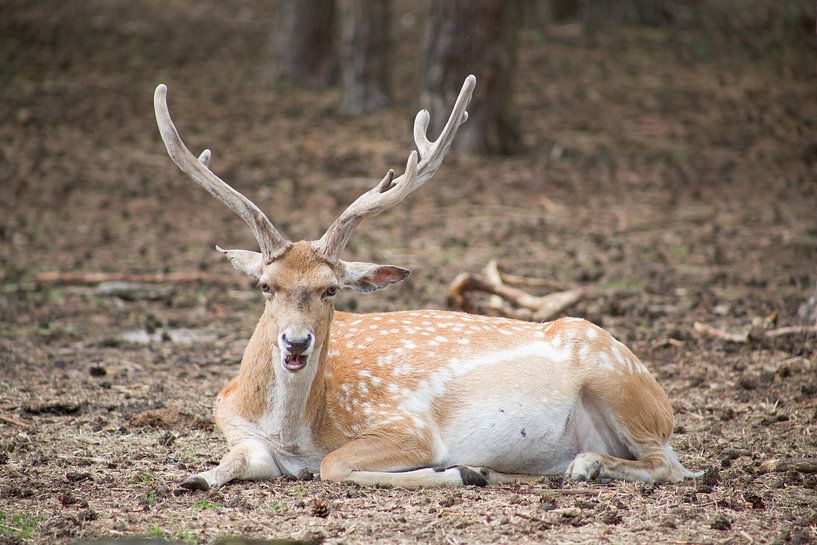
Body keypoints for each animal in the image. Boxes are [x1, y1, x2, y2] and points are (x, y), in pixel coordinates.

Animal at [153, 73, 700, 488]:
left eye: (331, 289)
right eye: (266, 286)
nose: (296, 342)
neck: (295, 433)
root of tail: (662, 405)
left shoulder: (407, 426)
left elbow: (334, 464)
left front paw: (461, 471)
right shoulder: (237, 428)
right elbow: (235, 459)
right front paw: (195, 478)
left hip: (619, 381)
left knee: (670, 465)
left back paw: (581, 466)